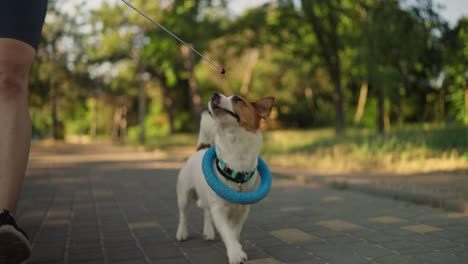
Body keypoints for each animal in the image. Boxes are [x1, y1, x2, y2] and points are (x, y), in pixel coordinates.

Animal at [177, 92, 276, 262]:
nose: (214, 94)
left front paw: (237, 247)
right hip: (184, 194)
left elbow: (234, 232)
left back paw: (208, 231)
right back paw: (182, 233)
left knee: (206, 211)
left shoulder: (242, 211)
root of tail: (201, 149)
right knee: (183, 214)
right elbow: (227, 232)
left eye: (238, 99)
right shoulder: (219, 210)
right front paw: (236, 254)